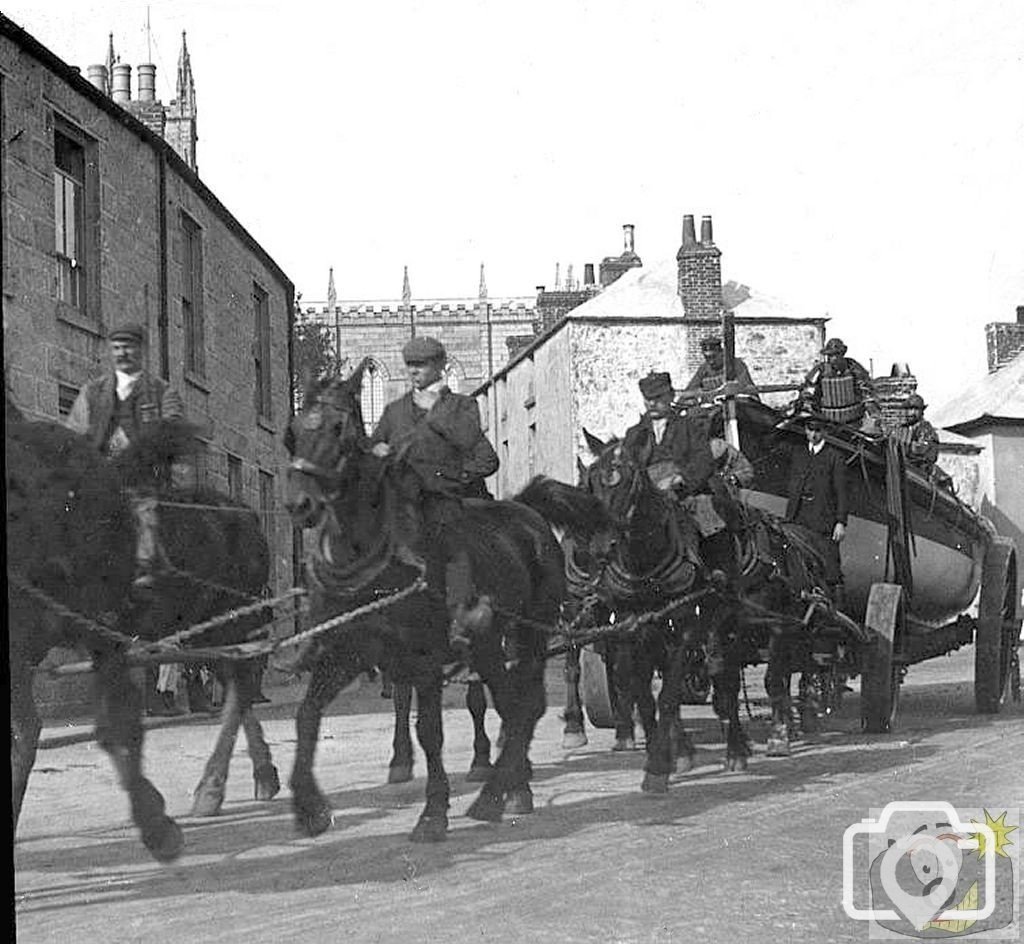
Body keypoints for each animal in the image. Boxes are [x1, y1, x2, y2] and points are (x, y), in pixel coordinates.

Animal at [284, 360, 610, 839]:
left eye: (339, 428)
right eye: (293, 431)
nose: (300, 504)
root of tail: (526, 511)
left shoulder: (424, 657)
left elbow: (430, 731)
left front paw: (433, 811)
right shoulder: (350, 652)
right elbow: (307, 715)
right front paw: (310, 808)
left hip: (529, 633)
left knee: (525, 705)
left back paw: (499, 793)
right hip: (489, 644)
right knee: (512, 705)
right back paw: (512, 787)